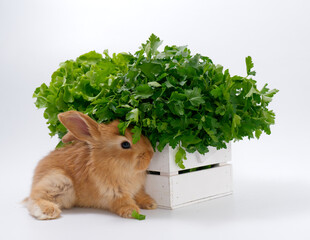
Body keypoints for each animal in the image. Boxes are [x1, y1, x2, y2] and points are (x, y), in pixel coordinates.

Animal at [23, 110, 157, 219]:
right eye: (125, 144)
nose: (151, 153)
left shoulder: (138, 188)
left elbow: (140, 195)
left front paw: (151, 204)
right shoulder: (113, 194)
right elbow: (124, 202)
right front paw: (133, 212)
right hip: (59, 181)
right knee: (34, 199)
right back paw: (49, 211)